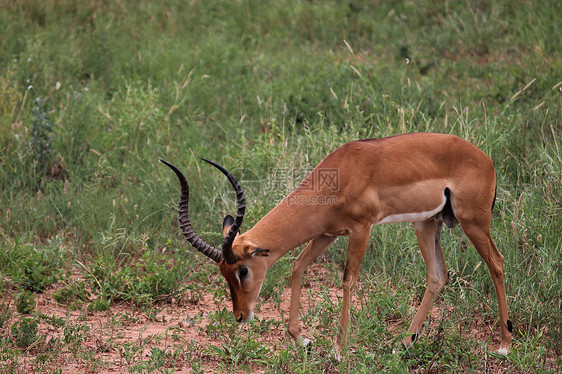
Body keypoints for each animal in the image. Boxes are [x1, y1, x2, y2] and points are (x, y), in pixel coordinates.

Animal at [160, 133, 510, 356]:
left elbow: (348, 280)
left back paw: (505, 345)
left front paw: (339, 350)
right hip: (426, 224)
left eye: (243, 271)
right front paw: (302, 341)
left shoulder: (361, 229)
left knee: (497, 262)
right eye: (223, 274)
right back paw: (403, 344)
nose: (240, 316)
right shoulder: (326, 233)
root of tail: (487, 159)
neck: (340, 173)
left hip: (474, 222)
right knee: (438, 275)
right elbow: (297, 268)